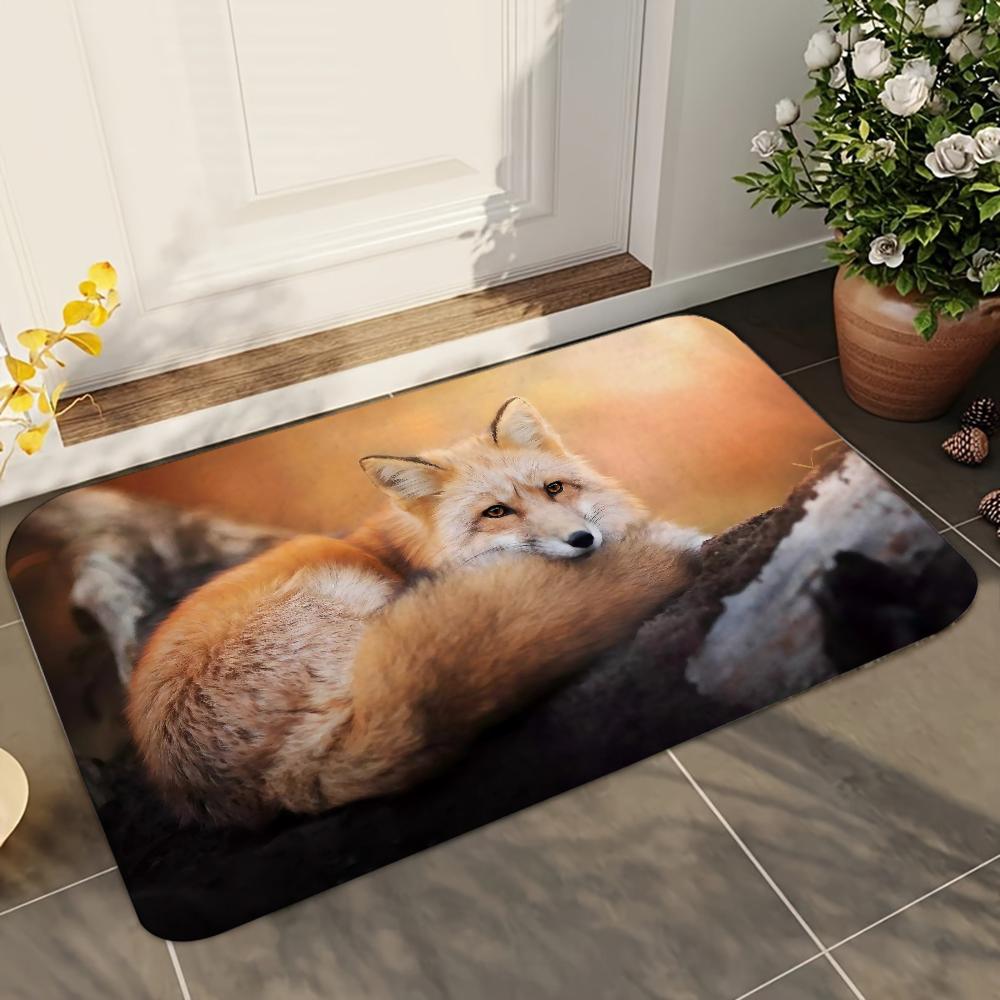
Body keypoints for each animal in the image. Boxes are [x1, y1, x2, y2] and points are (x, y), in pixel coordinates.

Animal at [126, 397, 706, 827]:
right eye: (496, 512)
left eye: (555, 488)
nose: (583, 540)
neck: (410, 554)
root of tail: (280, 781)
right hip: (351, 590)